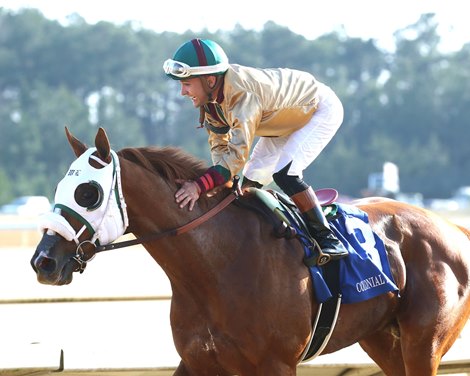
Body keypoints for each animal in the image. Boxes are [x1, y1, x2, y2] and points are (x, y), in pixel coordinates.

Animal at [30, 128, 470, 374]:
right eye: (57, 189)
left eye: (88, 192)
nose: (43, 262)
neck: (215, 267)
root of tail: (455, 228)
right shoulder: (199, 361)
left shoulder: (277, 364)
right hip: (382, 339)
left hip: (423, 343)